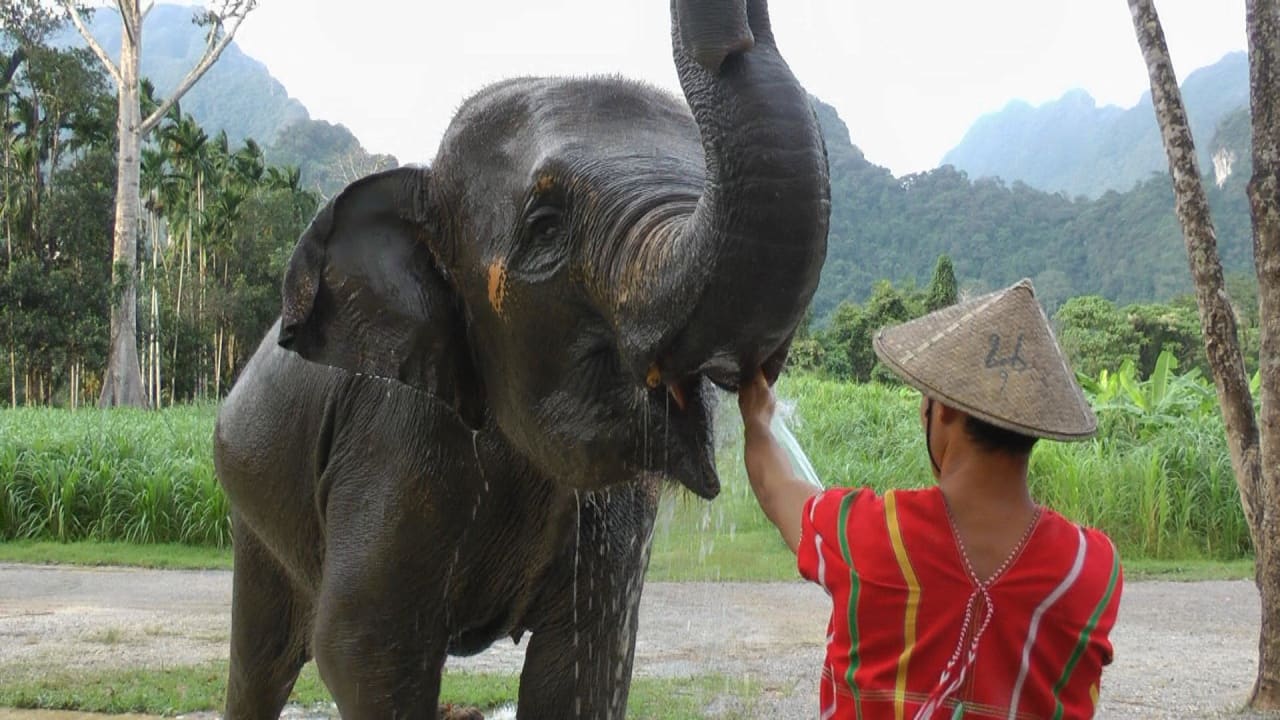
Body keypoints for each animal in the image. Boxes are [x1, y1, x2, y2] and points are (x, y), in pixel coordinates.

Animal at [212, 0, 829, 717]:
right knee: (262, 661)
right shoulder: (389, 436)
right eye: (545, 226)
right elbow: (360, 646)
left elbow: (584, 667)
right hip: (251, 507)